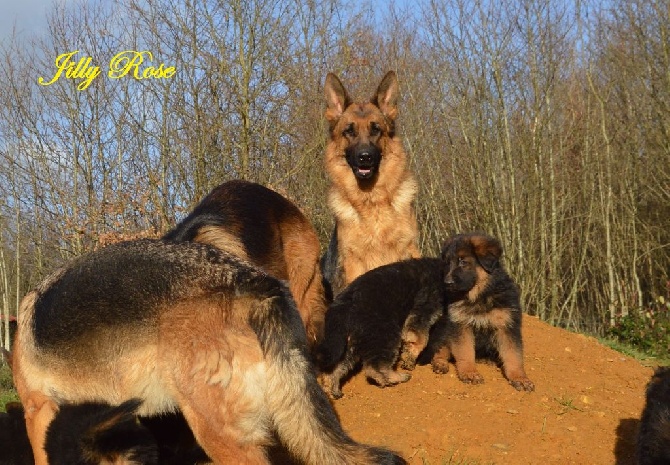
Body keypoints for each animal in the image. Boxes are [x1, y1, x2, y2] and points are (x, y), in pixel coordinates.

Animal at [318, 258, 448, 398]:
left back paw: (332, 388)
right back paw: (396, 377)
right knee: (376, 364)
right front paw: (410, 358)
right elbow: (418, 337)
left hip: (350, 340)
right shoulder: (426, 303)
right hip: (383, 331)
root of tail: (343, 305)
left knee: (337, 364)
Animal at [422, 234, 540, 390]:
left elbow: (513, 354)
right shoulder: (460, 324)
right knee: (440, 350)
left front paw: (520, 378)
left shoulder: (506, 325)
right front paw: (470, 373)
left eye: (463, 262)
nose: (447, 283)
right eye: (447, 263)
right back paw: (440, 363)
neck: (480, 295)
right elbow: (465, 351)